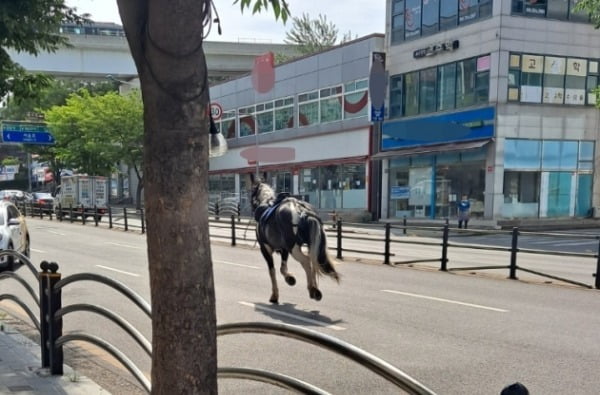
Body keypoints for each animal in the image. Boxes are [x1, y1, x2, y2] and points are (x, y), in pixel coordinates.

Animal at [250, 176, 340, 304]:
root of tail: (301, 210)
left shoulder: (266, 249)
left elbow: (272, 271)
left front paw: (275, 294)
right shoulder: (284, 249)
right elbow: (283, 268)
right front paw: (290, 278)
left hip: (294, 249)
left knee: (307, 261)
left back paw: (312, 289)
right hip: (311, 244)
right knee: (313, 260)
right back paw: (315, 289)